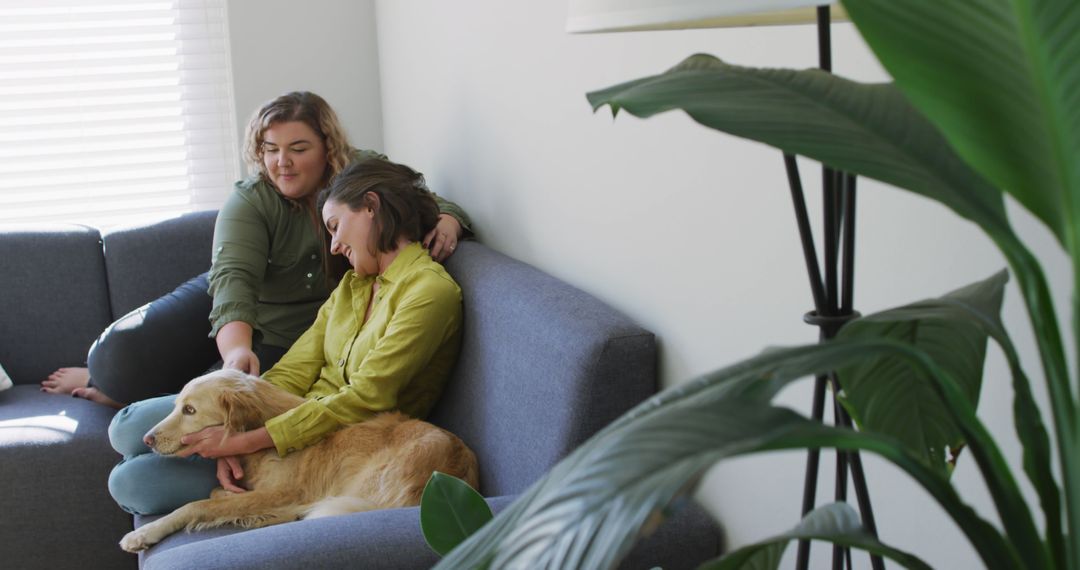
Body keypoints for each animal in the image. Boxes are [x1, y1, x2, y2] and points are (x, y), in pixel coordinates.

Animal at [118, 369, 477, 552]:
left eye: (190, 410)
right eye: (177, 405)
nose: (147, 439)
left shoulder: (283, 494)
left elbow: (197, 505)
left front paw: (144, 534)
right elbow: (219, 496)